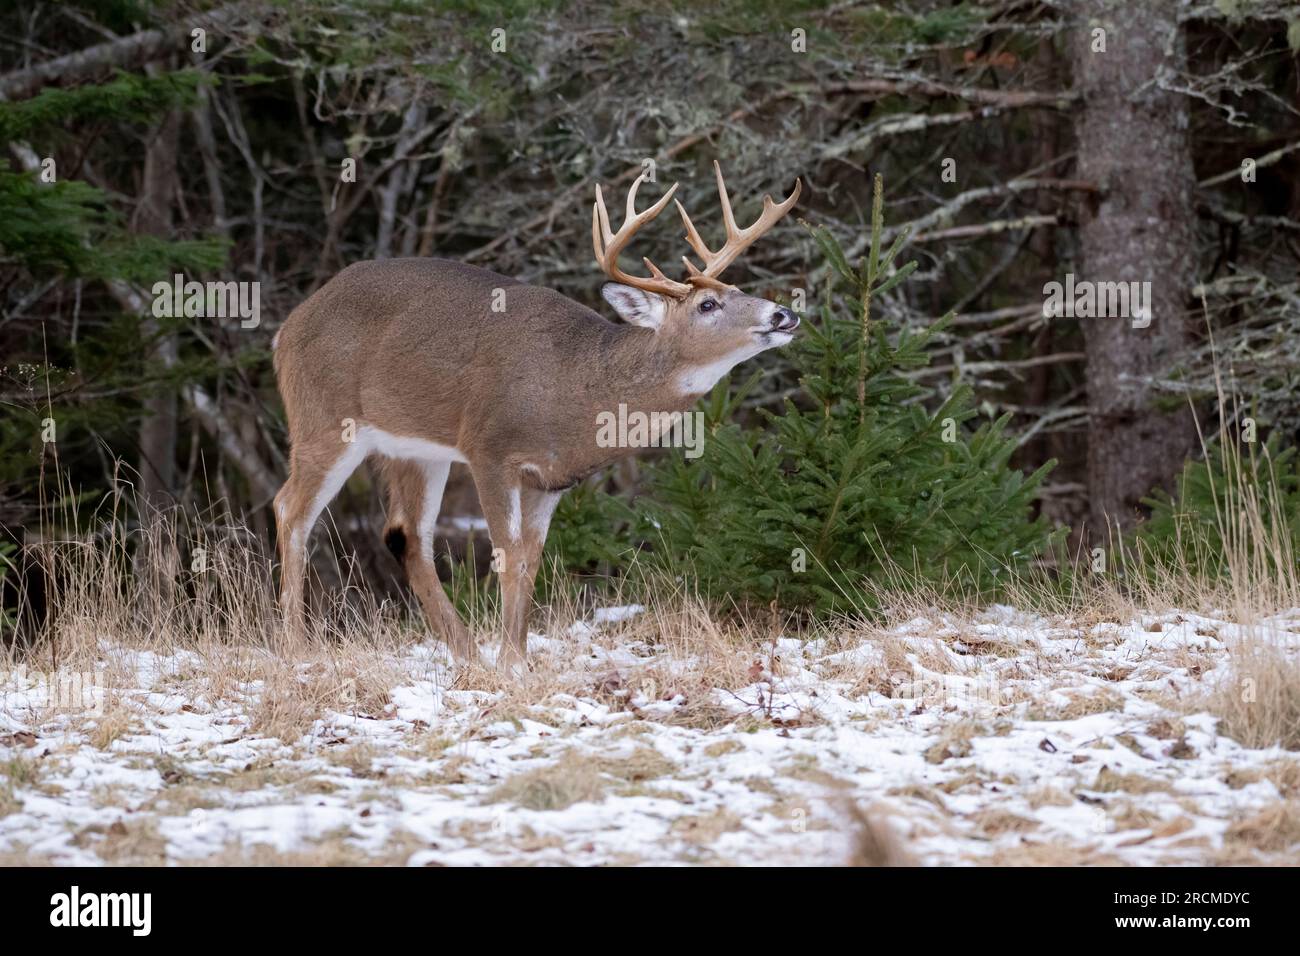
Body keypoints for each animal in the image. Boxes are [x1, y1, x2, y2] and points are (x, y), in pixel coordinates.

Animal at [272, 161, 801, 667]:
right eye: (707, 304)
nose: (784, 314)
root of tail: (287, 327)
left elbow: (531, 560)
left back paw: (467, 655)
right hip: (323, 417)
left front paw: (516, 658)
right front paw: (512, 666)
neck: (576, 390)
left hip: (415, 449)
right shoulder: (488, 449)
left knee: (406, 536)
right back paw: (295, 648)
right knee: (290, 509)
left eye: (737, 287)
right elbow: (507, 556)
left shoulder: (551, 481)